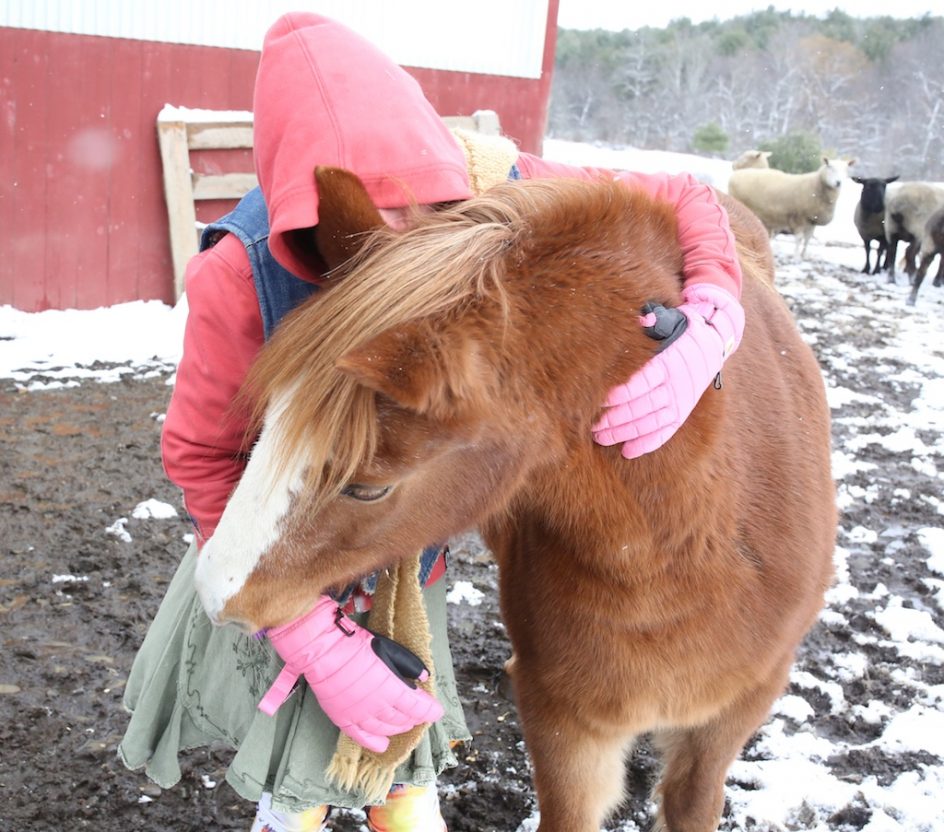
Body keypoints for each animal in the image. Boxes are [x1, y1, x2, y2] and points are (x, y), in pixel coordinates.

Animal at [724, 158, 856, 256]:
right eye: (830, 166)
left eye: (846, 169)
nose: (838, 182)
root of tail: (736, 174)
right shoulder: (799, 217)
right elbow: (799, 238)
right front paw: (796, 255)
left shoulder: (812, 220)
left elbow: (807, 239)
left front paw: (803, 255)